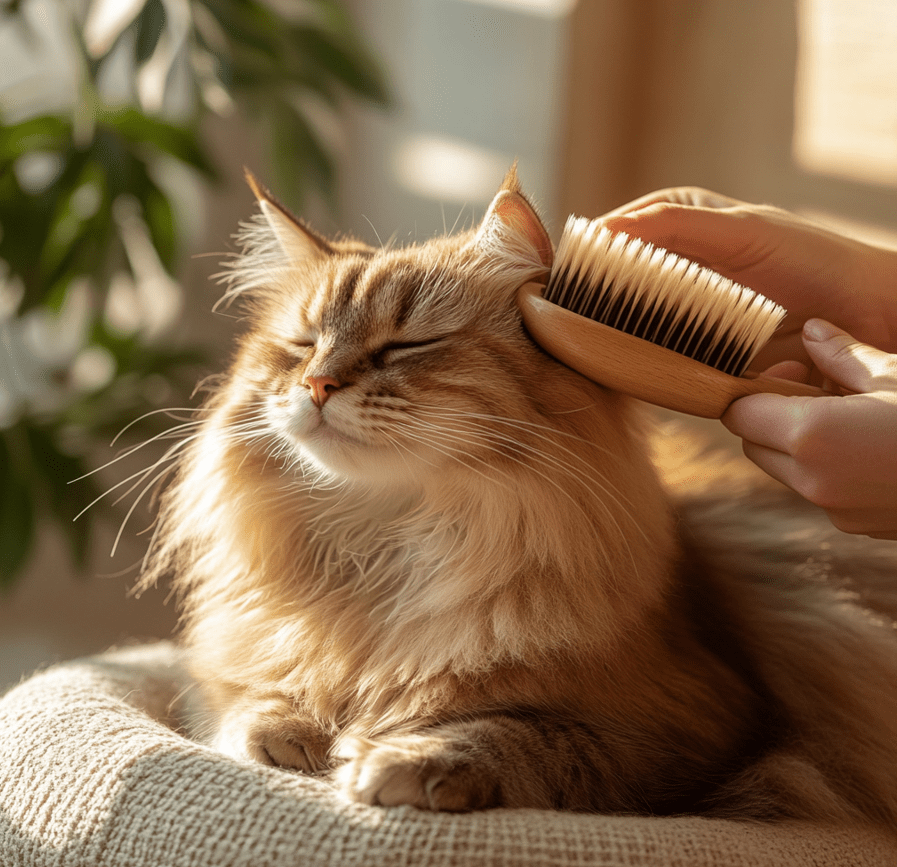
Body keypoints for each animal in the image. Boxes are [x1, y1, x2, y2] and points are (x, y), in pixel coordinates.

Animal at [136, 166, 896, 824]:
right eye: (301, 345)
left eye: (406, 346)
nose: (317, 385)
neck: (386, 560)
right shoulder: (225, 668)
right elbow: (239, 701)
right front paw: (287, 731)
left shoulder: (706, 730)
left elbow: (521, 735)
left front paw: (401, 758)